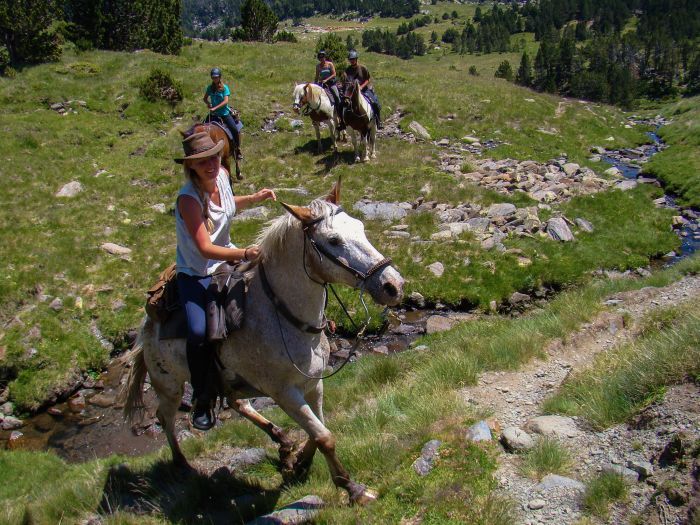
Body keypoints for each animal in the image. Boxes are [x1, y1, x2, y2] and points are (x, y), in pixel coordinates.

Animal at [123, 179, 402, 504]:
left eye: (360, 226)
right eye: (333, 240)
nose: (393, 285)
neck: (283, 314)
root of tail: (146, 326)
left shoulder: (313, 384)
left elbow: (318, 430)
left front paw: (299, 463)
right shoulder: (284, 393)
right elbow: (324, 436)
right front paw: (352, 488)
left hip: (229, 378)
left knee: (236, 402)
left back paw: (283, 443)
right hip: (169, 385)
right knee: (165, 417)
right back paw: (182, 464)